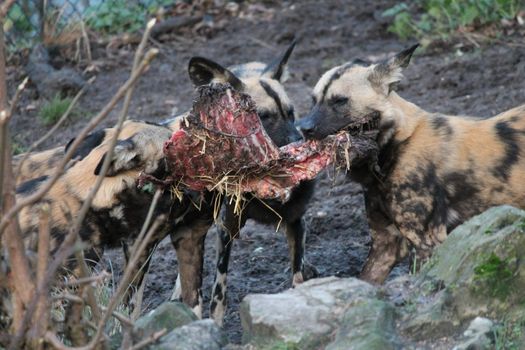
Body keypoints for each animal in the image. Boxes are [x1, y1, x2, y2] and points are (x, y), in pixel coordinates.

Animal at [294, 44, 524, 284]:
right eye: (313, 101)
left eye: (339, 101)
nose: (303, 128)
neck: (394, 146)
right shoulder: (385, 244)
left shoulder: (428, 241)